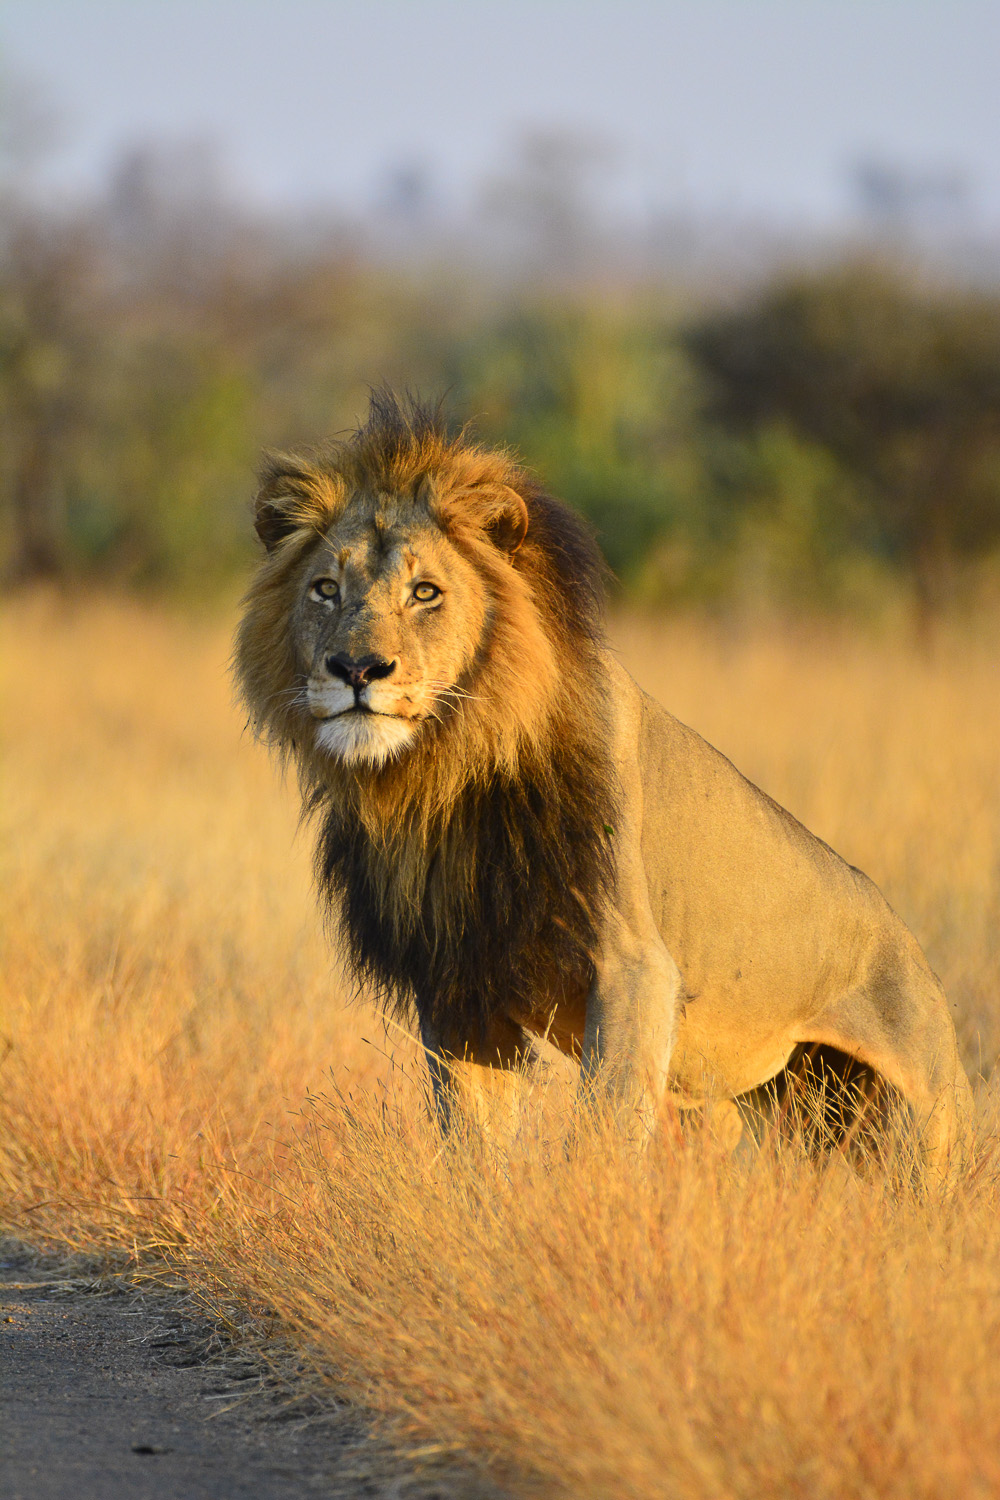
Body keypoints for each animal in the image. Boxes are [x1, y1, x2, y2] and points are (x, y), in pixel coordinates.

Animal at [234, 391, 972, 1181]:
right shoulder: (459, 981)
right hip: (792, 1104)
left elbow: (605, 1125)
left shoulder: (632, 963)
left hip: (924, 1123)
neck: (445, 775)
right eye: (325, 590)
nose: (356, 669)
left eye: (425, 592)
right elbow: (471, 1137)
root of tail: (912, 951)